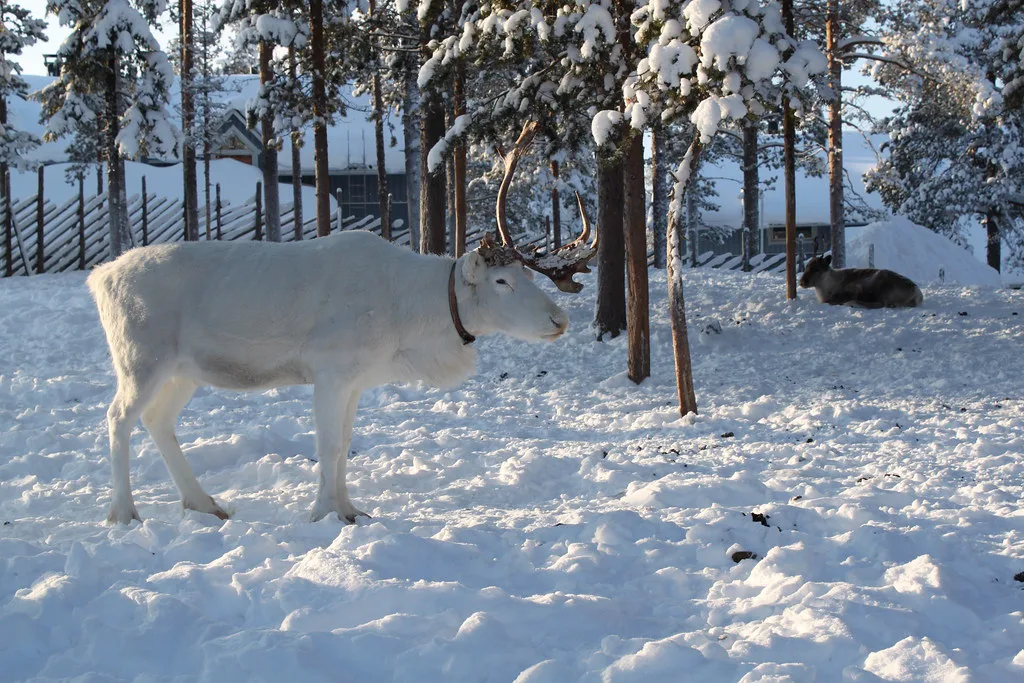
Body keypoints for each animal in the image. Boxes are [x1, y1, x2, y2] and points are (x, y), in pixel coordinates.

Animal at [88, 121, 597, 525]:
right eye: (502, 280)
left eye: (527, 275)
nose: (559, 319)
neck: (411, 321)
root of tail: (99, 277)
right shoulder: (330, 371)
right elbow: (329, 445)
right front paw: (323, 513)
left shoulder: (356, 379)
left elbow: (346, 443)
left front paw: (351, 509)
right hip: (141, 360)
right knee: (117, 417)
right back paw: (124, 513)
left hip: (182, 371)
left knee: (157, 420)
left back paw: (203, 503)